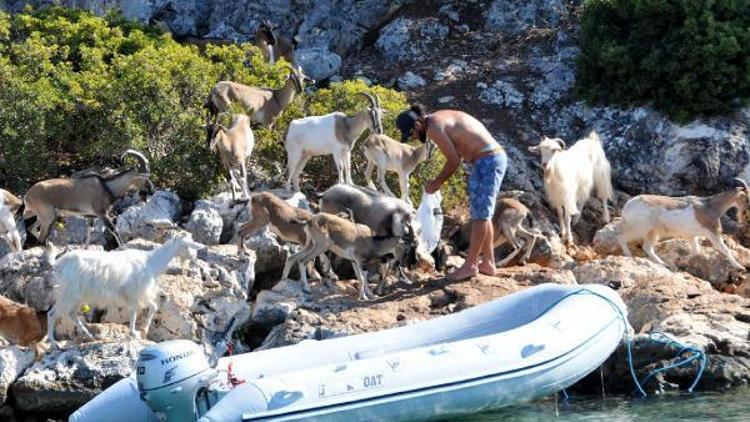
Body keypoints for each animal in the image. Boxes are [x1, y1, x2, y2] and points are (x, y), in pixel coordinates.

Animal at [23, 150, 153, 246]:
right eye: (144, 177)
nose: (151, 190)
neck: (107, 187)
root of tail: (27, 195)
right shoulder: (102, 214)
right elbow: (114, 230)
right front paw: (122, 247)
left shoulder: (90, 217)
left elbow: (89, 234)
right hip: (48, 216)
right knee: (41, 238)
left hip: (40, 216)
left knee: (31, 228)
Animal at [48, 229, 204, 348]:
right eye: (186, 245)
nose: (194, 258)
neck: (152, 262)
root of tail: (58, 264)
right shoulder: (135, 293)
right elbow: (134, 313)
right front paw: (134, 333)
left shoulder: (141, 294)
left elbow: (153, 307)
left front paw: (144, 329)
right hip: (68, 294)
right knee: (52, 314)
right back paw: (54, 343)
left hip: (77, 296)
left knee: (71, 314)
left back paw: (89, 335)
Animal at [282, 214, 414, 300]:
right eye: (406, 248)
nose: (403, 264)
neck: (371, 241)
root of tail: (310, 221)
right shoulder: (360, 261)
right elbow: (363, 277)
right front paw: (364, 296)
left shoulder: (354, 262)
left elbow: (360, 278)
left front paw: (370, 295)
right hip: (320, 246)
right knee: (302, 261)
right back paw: (306, 289)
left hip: (310, 244)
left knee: (292, 258)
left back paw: (283, 281)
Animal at [616, 178, 750, 270]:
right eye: (747, 198)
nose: (745, 215)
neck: (710, 207)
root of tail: (628, 206)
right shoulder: (713, 233)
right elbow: (725, 250)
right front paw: (740, 267)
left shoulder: (691, 236)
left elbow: (696, 251)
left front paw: (680, 261)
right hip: (639, 229)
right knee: (621, 237)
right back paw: (629, 255)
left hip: (652, 232)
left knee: (647, 247)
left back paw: (664, 264)